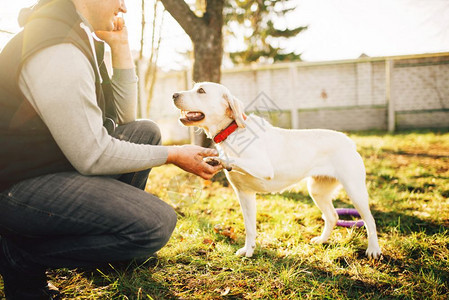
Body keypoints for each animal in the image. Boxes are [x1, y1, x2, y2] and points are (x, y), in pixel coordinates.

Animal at [172, 81, 382, 258]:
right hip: (317, 191)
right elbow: (250, 227)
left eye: (201, 90)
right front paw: (248, 251)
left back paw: (373, 250)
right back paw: (322, 240)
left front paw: (218, 159)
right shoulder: (244, 194)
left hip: (355, 191)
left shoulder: (263, 167)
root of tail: (348, 141)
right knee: (332, 216)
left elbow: (232, 158)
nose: (173, 94)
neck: (232, 131)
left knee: (370, 220)